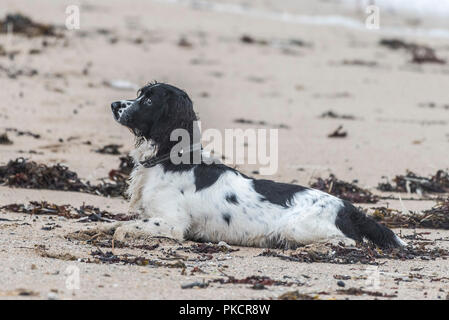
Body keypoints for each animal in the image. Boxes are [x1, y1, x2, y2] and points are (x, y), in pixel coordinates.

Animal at [109, 81, 406, 249]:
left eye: (149, 100)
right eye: (140, 94)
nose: (113, 104)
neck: (170, 159)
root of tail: (347, 206)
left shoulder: (172, 223)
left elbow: (124, 229)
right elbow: (116, 225)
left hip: (296, 227)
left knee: (350, 242)